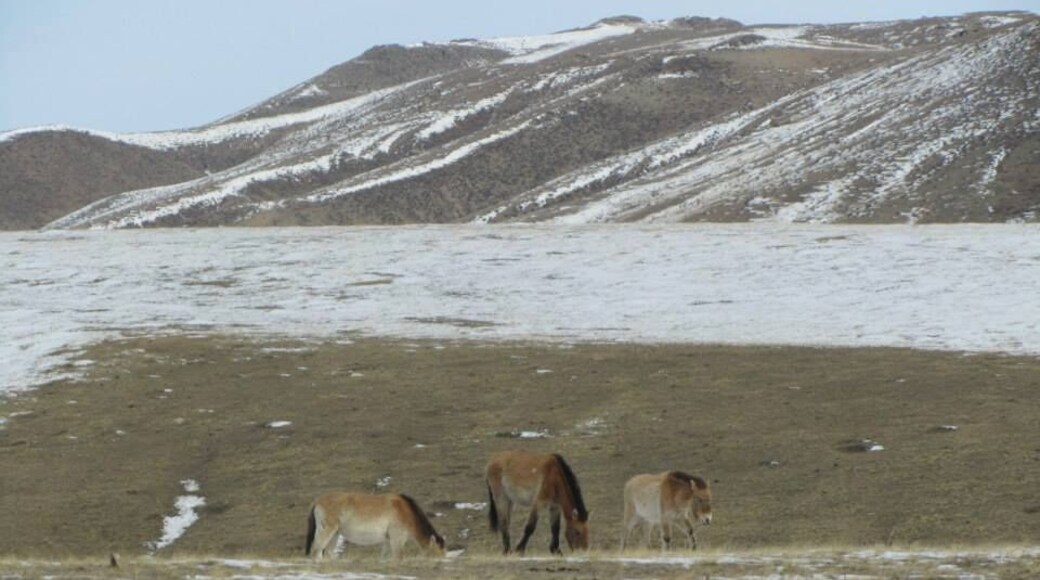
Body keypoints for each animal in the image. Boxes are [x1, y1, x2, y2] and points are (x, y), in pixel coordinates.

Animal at [305, 492, 445, 560]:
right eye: (437, 553)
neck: (406, 511)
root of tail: (317, 501)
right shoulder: (397, 539)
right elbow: (398, 557)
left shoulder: (388, 541)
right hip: (326, 530)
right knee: (316, 551)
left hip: (335, 534)